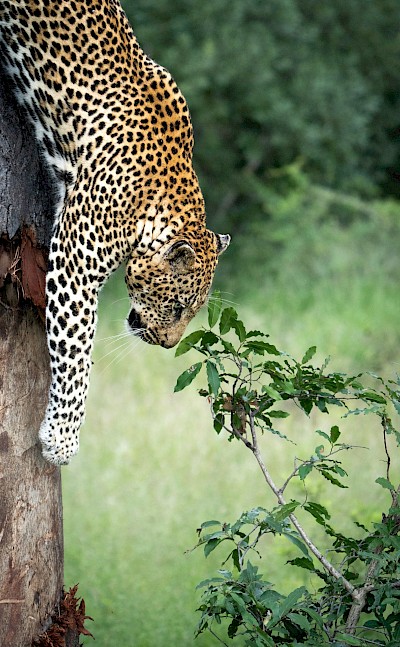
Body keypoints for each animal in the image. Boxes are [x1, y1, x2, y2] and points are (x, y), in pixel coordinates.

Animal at [0, 0, 230, 466]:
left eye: (193, 312)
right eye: (178, 307)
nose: (167, 345)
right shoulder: (74, 265)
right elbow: (76, 349)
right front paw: (61, 439)